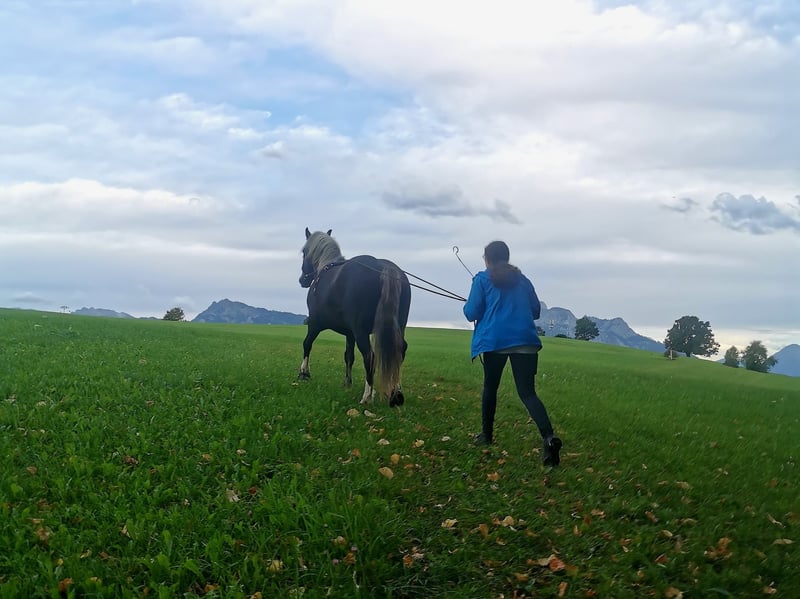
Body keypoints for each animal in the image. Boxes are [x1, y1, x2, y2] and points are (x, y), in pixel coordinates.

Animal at [298, 228, 411, 407]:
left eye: (304, 252)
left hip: (361, 332)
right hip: (398, 327)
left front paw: (304, 373)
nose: (302, 280)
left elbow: (307, 344)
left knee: (370, 356)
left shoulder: (315, 324)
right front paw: (347, 382)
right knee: (400, 350)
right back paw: (396, 393)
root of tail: (385, 267)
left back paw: (367, 396)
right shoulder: (349, 333)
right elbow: (348, 356)